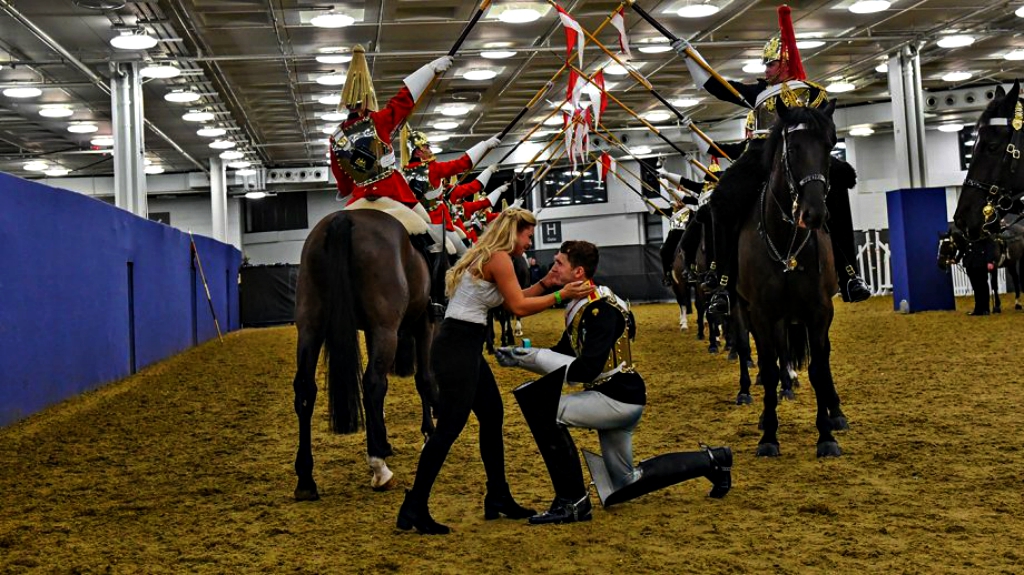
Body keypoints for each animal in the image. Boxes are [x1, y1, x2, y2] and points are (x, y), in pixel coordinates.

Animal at [288, 209, 436, 497]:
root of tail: (344, 218)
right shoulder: (423, 322)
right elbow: (423, 379)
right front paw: (428, 434)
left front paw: (385, 438)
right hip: (386, 329)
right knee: (373, 384)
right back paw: (379, 468)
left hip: (311, 325)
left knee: (305, 389)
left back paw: (306, 480)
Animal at [737, 98, 847, 456]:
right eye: (794, 148)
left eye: (829, 145)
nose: (814, 214)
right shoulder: (760, 313)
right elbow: (768, 368)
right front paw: (769, 435)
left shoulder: (819, 311)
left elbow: (817, 368)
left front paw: (826, 435)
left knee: (822, 357)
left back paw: (836, 411)